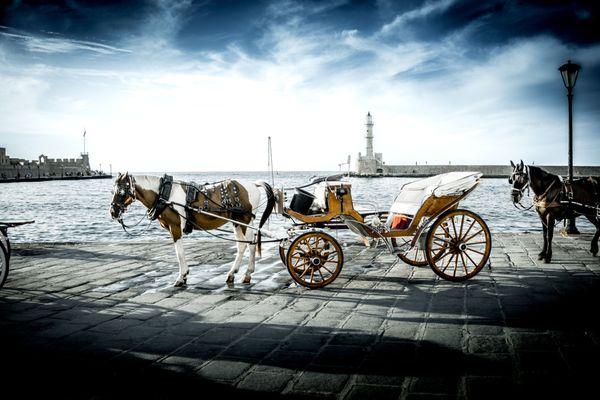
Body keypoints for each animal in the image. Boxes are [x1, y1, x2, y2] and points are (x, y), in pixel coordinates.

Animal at [109, 173, 274, 286]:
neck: (164, 194)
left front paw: (182, 277)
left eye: (122, 192)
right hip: (237, 222)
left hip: (245, 220)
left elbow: (179, 253)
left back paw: (247, 274)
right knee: (241, 245)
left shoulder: (175, 227)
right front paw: (184, 276)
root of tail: (253, 184)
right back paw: (232, 274)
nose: (113, 212)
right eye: (113, 191)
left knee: (250, 245)